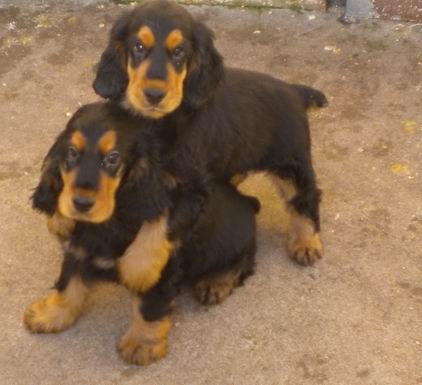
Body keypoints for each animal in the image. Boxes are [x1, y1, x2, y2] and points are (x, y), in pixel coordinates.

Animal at [25, 101, 260, 364]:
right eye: (72, 153)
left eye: (113, 158)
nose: (81, 203)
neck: (109, 220)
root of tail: (247, 202)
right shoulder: (78, 249)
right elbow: (68, 283)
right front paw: (50, 315)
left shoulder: (165, 265)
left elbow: (149, 304)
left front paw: (142, 344)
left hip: (237, 243)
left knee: (242, 262)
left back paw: (215, 282)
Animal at [94, 0, 328, 268]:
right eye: (139, 47)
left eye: (179, 52)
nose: (154, 95)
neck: (157, 123)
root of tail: (293, 90)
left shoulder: (189, 189)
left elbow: (158, 235)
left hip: (291, 161)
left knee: (305, 197)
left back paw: (306, 242)